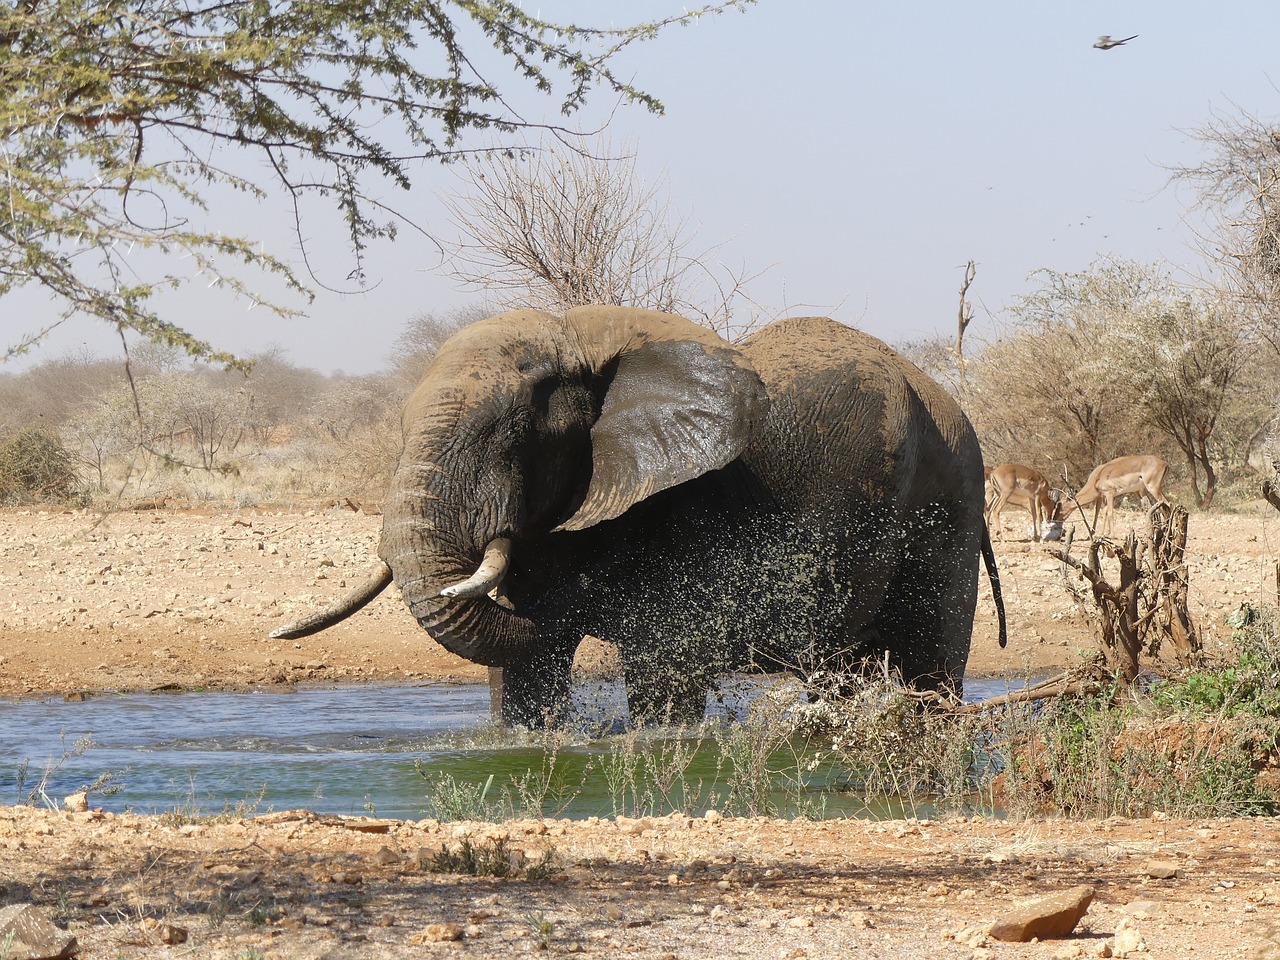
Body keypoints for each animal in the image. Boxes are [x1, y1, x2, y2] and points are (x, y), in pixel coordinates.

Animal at [275, 308, 1003, 727]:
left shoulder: (684, 506)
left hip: (951, 499)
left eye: (509, 436)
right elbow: (525, 672)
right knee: (846, 669)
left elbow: (664, 664)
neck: (581, 336)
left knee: (929, 662)